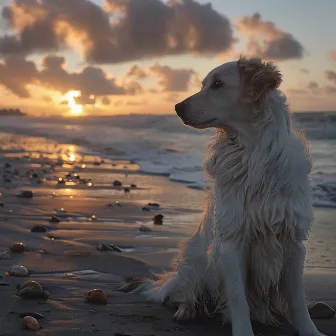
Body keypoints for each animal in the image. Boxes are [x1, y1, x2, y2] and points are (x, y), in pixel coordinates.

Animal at [119, 57, 324, 336]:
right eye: (204, 84)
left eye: (217, 84)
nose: (177, 107)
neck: (252, 152)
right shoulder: (230, 241)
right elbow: (238, 299)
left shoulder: (293, 240)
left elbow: (297, 301)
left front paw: (310, 331)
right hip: (194, 261)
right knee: (184, 294)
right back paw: (186, 311)